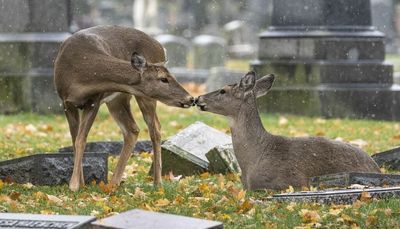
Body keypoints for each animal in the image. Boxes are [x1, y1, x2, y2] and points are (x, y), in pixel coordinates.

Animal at [54, 25, 195, 191]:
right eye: (163, 79)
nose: (190, 98)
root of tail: (161, 47)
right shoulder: (66, 103)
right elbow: (76, 140)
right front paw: (80, 183)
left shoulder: (95, 100)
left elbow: (81, 140)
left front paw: (74, 184)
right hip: (118, 99)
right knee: (132, 129)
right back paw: (114, 182)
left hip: (143, 97)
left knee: (155, 129)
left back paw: (157, 183)